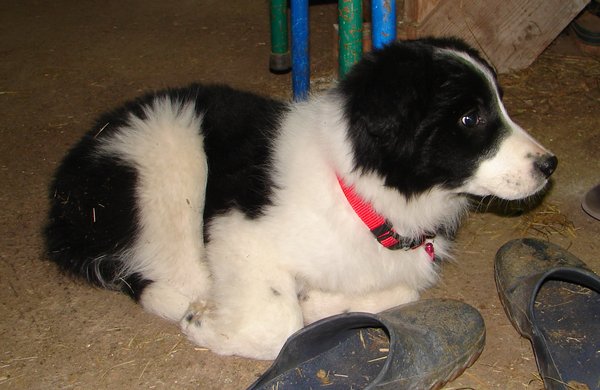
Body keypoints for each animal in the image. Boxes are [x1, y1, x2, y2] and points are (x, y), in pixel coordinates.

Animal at [44, 38, 556, 358]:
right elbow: (280, 325)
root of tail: (62, 201)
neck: (358, 195)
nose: (550, 164)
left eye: (500, 104)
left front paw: (320, 302)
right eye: (470, 118)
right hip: (168, 161)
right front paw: (206, 325)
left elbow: (402, 289)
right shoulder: (236, 233)